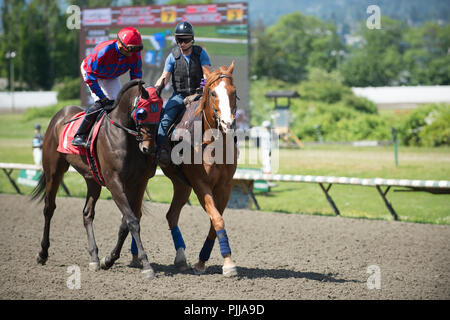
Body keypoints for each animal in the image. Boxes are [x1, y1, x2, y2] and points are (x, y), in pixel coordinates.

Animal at [32, 81, 158, 278]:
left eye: (160, 110)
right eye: (142, 113)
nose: (149, 148)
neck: (124, 137)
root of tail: (60, 114)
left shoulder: (138, 183)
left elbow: (127, 221)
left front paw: (109, 259)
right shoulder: (114, 182)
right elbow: (132, 220)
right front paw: (146, 265)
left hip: (92, 179)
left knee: (87, 213)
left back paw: (94, 257)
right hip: (54, 170)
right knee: (49, 208)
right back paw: (43, 253)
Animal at [162, 62, 239, 276]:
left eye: (233, 92)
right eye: (213, 93)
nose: (228, 123)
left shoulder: (225, 187)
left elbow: (215, 221)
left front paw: (203, 262)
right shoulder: (200, 185)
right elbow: (217, 218)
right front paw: (228, 263)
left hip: (181, 185)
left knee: (171, 215)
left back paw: (181, 258)